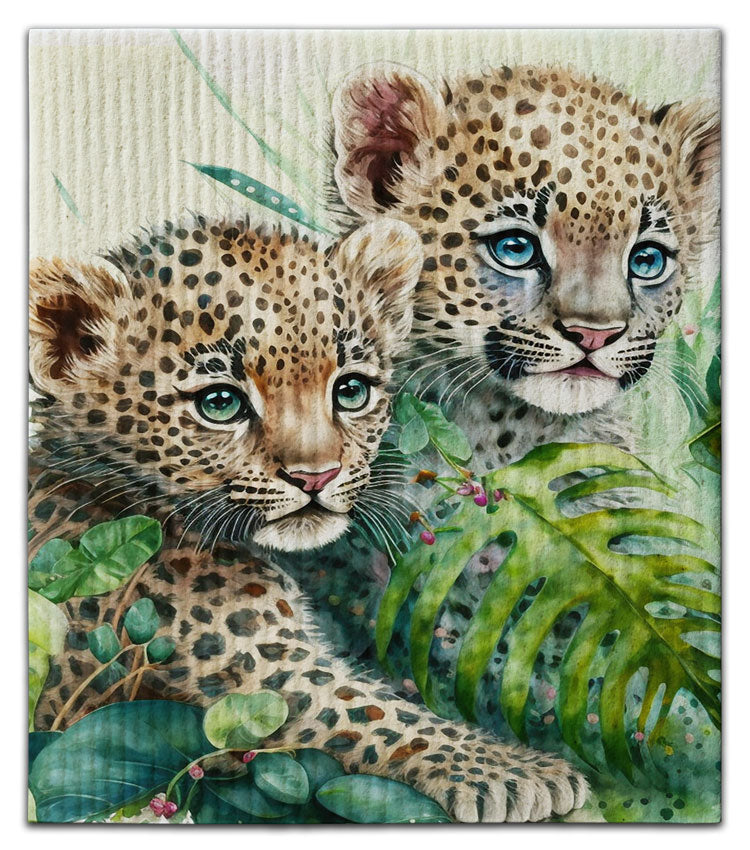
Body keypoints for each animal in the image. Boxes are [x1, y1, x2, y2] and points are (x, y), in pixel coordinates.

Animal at [29, 215, 587, 822]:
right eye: (220, 403)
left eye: (350, 390)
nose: (316, 477)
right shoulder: (261, 668)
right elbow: (374, 714)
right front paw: (519, 772)